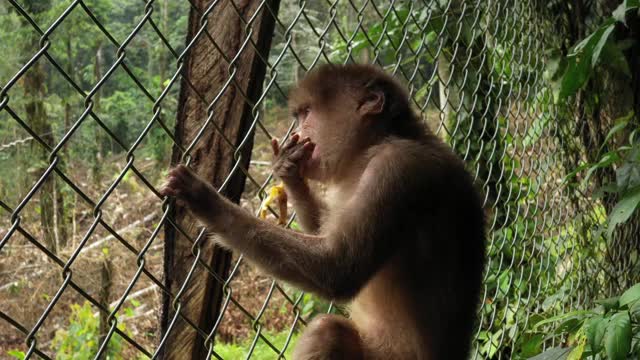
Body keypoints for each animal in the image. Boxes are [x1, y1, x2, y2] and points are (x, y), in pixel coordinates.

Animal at [160, 63, 484, 358]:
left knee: (326, 331)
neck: (375, 147)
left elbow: (337, 266)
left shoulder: (397, 168)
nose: (297, 130)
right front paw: (290, 173)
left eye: (306, 113)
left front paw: (205, 200)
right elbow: (323, 231)